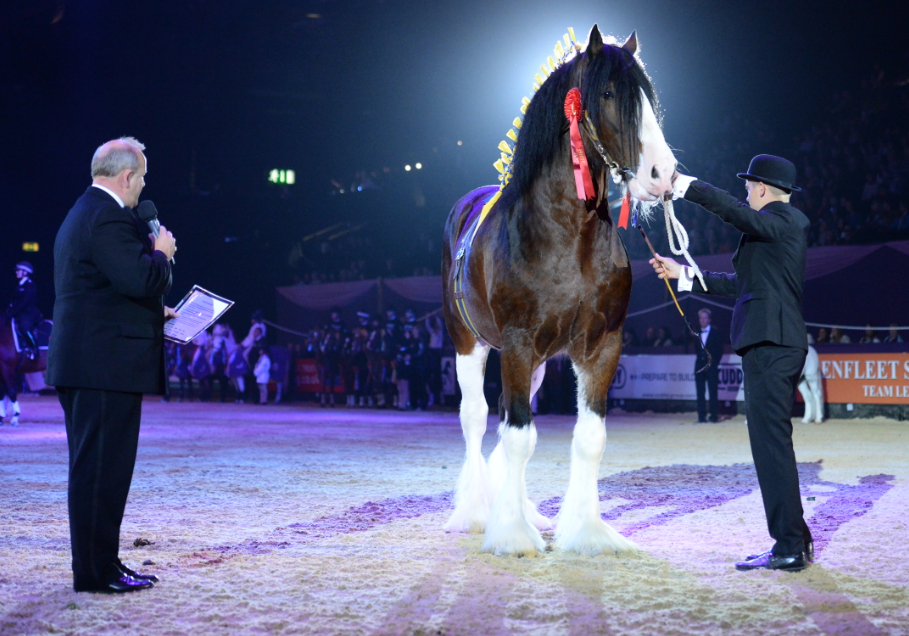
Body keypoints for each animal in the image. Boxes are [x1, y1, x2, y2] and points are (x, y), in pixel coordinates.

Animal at [441, 25, 677, 556]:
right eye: (608, 94)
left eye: (649, 98)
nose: (664, 175)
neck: (569, 237)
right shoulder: (518, 342)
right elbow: (517, 436)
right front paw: (512, 535)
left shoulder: (601, 345)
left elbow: (588, 438)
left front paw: (588, 533)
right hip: (471, 344)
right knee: (476, 417)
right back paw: (476, 514)